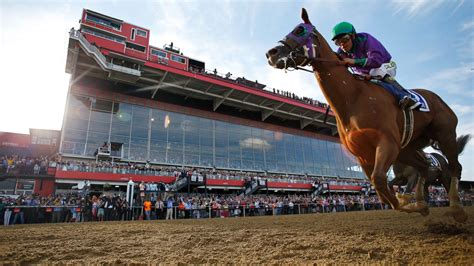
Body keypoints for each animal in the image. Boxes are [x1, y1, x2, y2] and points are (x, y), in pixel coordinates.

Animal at [266, 8, 466, 222]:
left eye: (300, 29)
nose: (271, 53)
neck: (354, 97)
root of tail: (438, 99)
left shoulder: (387, 143)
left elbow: (379, 181)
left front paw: (407, 203)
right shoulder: (362, 155)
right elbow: (381, 189)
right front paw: (410, 204)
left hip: (445, 135)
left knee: (455, 168)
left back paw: (456, 208)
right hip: (408, 148)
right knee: (423, 168)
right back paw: (423, 203)